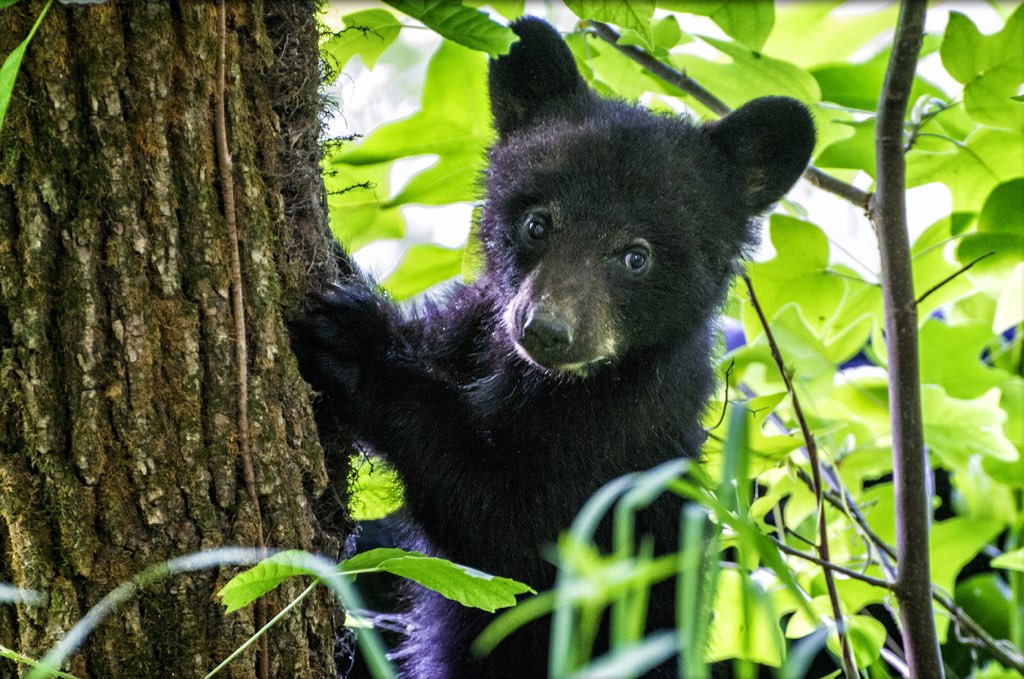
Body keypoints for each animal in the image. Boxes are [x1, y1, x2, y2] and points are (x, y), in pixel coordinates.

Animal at [291, 16, 815, 679]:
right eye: (537, 223)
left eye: (636, 256)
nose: (546, 330)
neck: (544, 382)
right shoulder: (471, 331)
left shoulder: (615, 450)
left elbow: (507, 530)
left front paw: (357, 344)